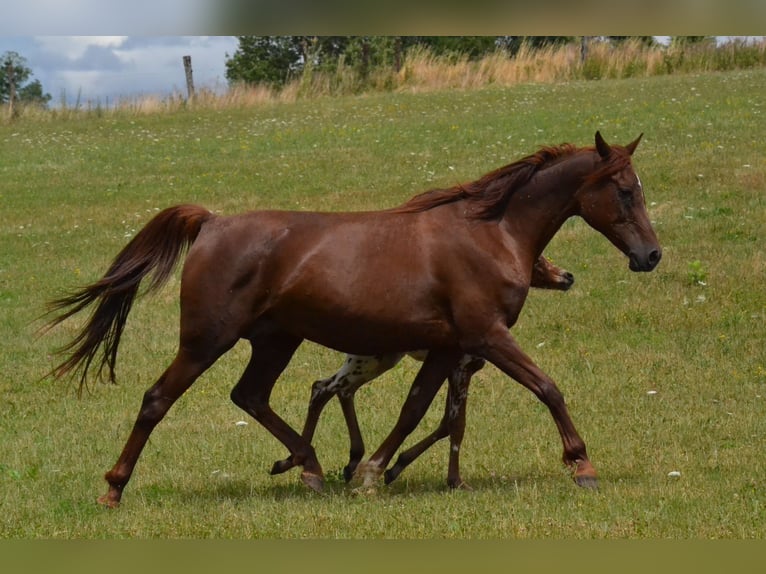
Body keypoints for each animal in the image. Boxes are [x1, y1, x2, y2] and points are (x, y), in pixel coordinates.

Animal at [270, 255, 575, 489]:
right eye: (537, 260)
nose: (567, 276)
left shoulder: (462, 371)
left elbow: (446, 423)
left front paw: (396, 467)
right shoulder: (461, 368)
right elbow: (455, 425)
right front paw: (453, 481)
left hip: (377, 361)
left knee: (336, 389)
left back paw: (339, 461)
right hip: (367, 360)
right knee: (324, 387)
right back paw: (300, 463)